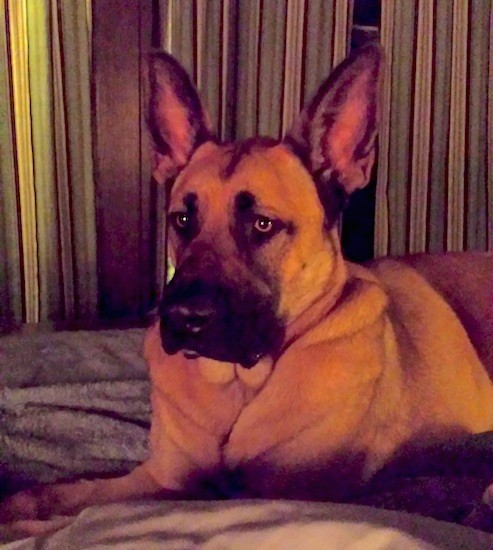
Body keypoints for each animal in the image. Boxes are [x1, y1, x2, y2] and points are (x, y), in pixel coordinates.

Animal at [0, 42, 492, 532]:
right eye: (183, 219)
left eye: (262, 225)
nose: (179, 319)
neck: (237, 389)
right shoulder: (161, 474)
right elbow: (74, 491)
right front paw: (25, 508)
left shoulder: (271, 490)